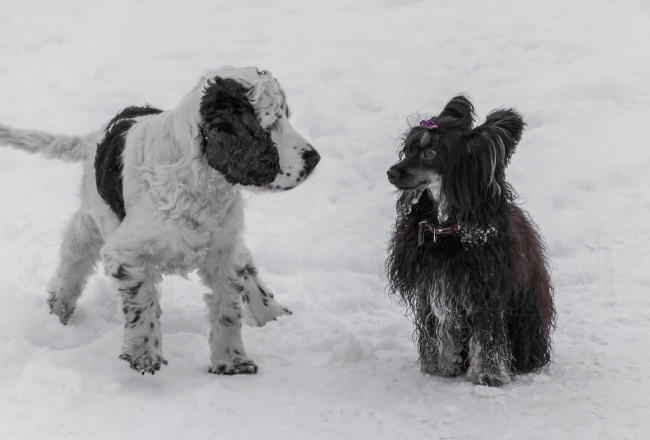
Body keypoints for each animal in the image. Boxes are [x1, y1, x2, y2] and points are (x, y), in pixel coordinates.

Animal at [0, 65, 318, 374]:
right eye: (271, 123)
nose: (315, 159)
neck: (199, 182)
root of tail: (94, 136)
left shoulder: (223, 251)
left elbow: (228, 308)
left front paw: (233, 361)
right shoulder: (126, 252)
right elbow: (143, 301)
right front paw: (143, 354)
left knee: (248, 264)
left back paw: (272, 312)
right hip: (90, 222)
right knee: (72, 265)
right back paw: (57, 312)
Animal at [384, 95, 552, 384]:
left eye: (430, 153)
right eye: (409, 149)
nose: (391, 172)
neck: (448, 229)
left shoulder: (486, 290)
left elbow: (487, 337)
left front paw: (487, 375)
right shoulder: (434, 287)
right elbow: (440, 332)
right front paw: (441, 366)